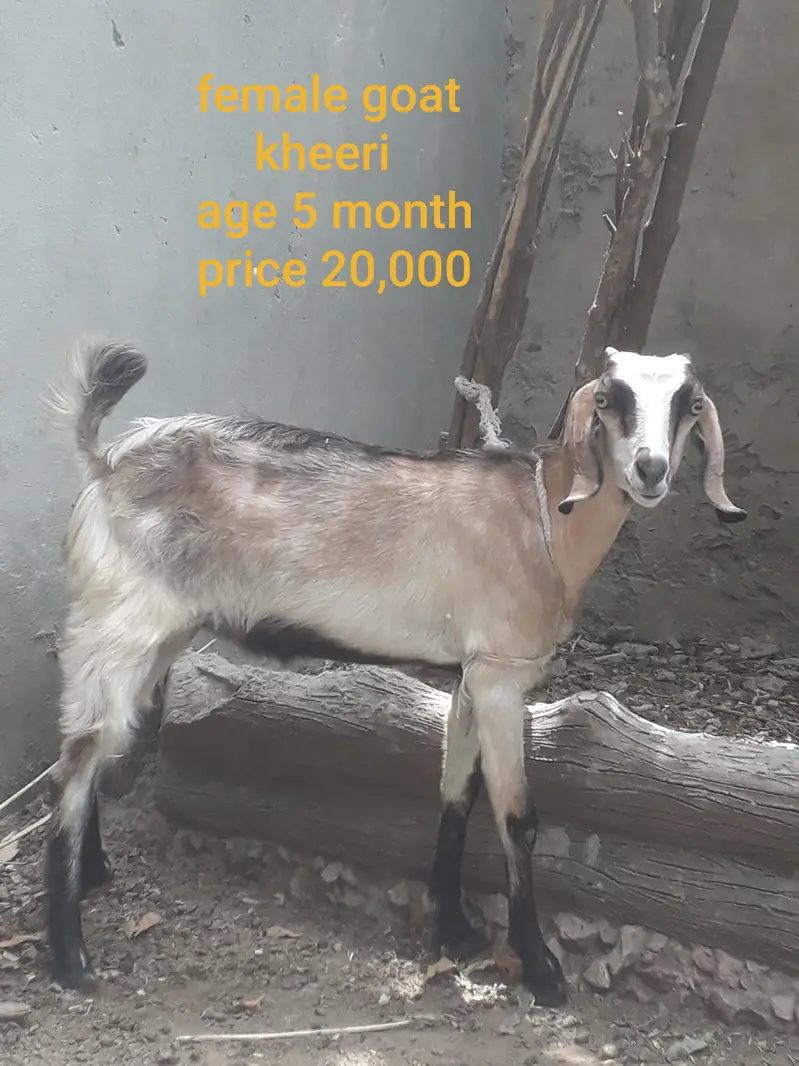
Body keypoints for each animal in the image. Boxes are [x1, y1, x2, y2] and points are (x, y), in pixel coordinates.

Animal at [42, 337, 745, 1002]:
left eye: (688, 402)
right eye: (608, 397)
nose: (650, 469)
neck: (542, 516)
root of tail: (104, 462)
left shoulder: (471, 673)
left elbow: (457, 794)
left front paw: (454, 930)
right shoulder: (500, 674)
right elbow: (517, 816)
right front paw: (541, 970)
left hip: (160, 633)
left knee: (101, 747)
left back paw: (94, 874)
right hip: (118, 624)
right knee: (72, 767)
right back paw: (70, 959)